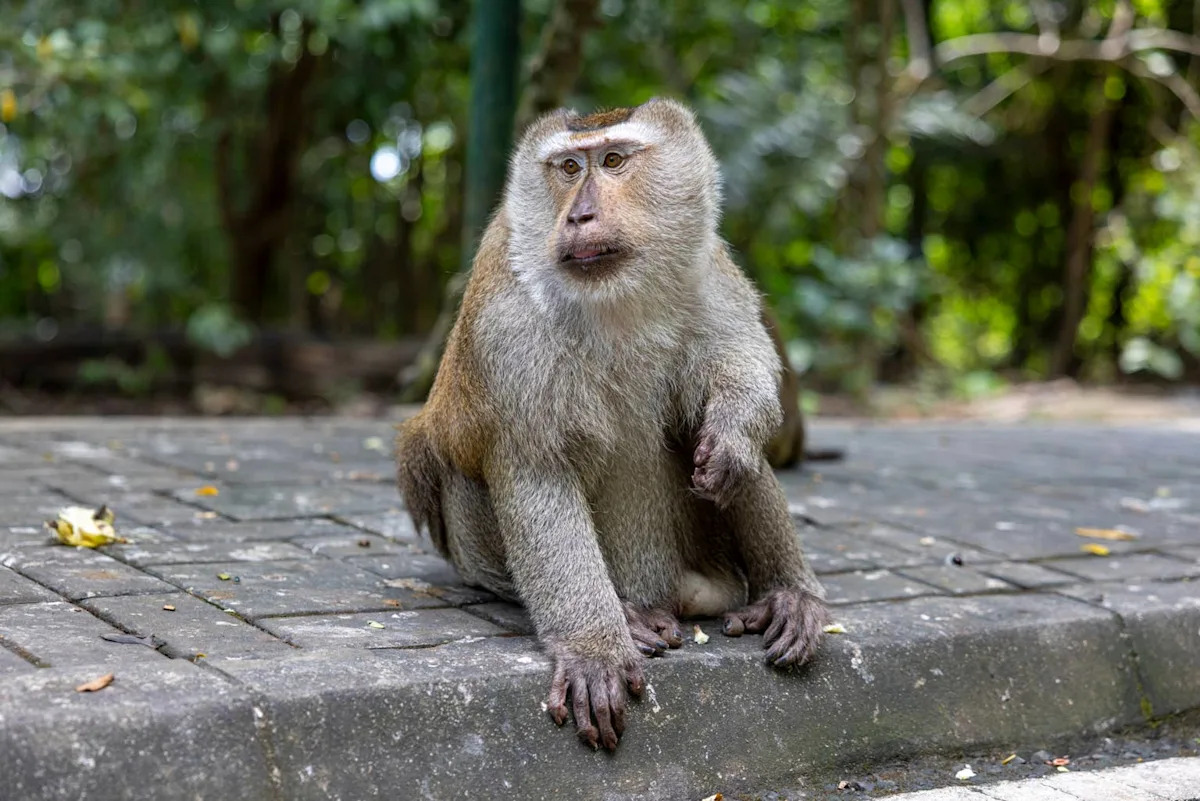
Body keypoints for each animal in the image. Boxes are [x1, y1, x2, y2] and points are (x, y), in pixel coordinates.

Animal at [396, 98, 827, 752]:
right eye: (570, 167)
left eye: (615, 160)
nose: (580, 215)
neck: (616, 301)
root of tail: (681, 588)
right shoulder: (509, 323)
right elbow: (534, 470)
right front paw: (593, 648)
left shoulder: (708, 266)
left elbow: (741, 366)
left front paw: (732, 429)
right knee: (451, 462)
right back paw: (627, 613)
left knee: (720, 445)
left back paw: (789, 595)